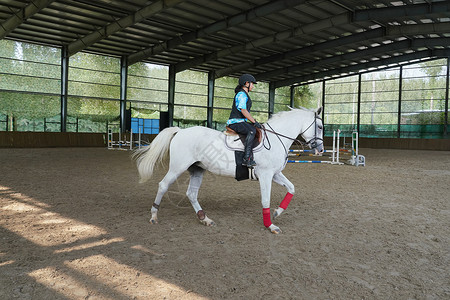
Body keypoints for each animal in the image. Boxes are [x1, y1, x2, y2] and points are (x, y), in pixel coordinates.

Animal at [134, 108, 324, 234]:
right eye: (321, 126)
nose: (320, 150)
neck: (277, 138)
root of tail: (180, 131)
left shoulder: (275, 174)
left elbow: (292, 188)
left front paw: (277, 212)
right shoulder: (265, 175)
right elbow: (265, 200)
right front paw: (270, 225)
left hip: (197, 170)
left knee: (191, 193)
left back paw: (205, 219)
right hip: (177, 167)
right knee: (163, 185)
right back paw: (154, 216)